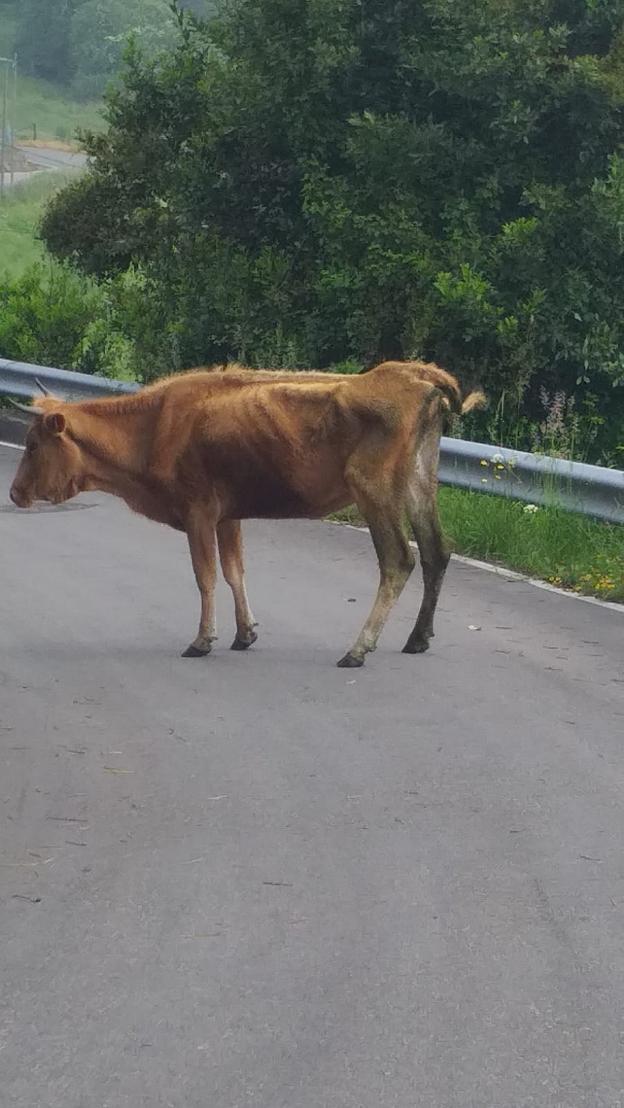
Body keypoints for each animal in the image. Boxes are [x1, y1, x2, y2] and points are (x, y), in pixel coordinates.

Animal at [8, 361, 485, 667]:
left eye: (33, 444)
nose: (13, 493)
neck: (154, 427)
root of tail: (412, 373)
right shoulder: (227, 516)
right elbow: (235, 571)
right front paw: (245, 633)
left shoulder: (198, 511)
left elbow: (205, 576)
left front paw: (203, 639)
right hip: (420, 484)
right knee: (435, 552)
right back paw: (417, 639)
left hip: (374, 491)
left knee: (398, 560)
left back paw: (358, 649)